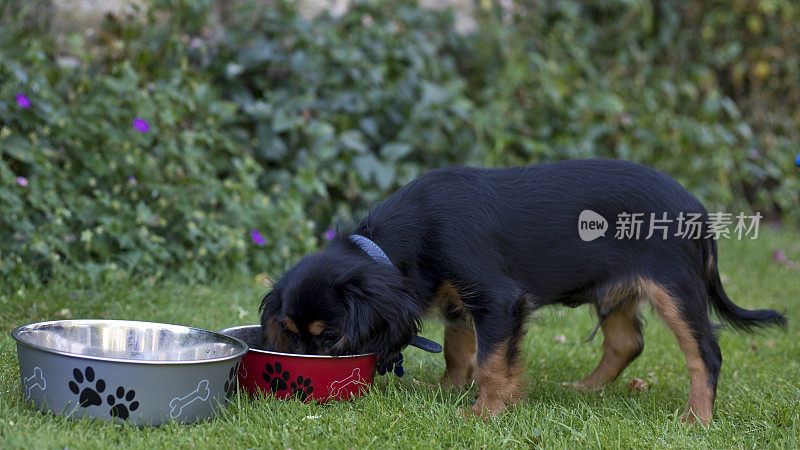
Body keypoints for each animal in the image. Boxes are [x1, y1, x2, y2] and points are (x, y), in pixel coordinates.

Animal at [260, 159, 784, 426]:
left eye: (330, 339)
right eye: (290, 333)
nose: (301, 373)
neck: (402, 239)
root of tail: (699, 209)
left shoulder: (497, 298)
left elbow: (493, 361)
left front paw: (484, 412)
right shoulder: (462, 301)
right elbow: (460, 349)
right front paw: (449, 388)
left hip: (673, 288)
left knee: (705, 352)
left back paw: (697, 419)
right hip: (615, 287)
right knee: (626, 341)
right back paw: (586, 389)